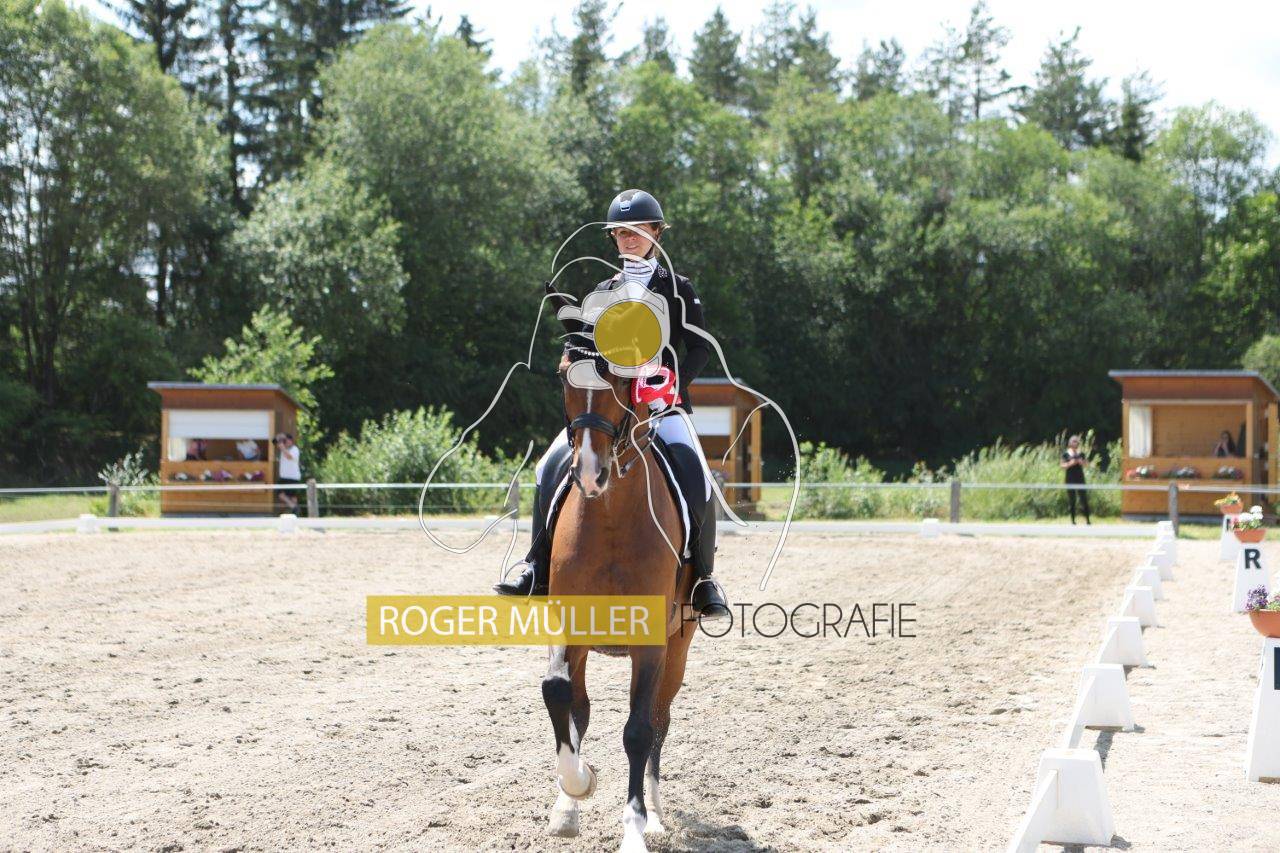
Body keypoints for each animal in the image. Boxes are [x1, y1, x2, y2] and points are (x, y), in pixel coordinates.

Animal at [540, 347, 699, 853]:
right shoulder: (568, 627)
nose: (590, 474)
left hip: (677, 649)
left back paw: (656, 817)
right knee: (580, 709)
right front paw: (578, 785)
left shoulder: (651, 645)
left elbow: (638, 731)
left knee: (659, 721)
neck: (608, 516)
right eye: (562, 377)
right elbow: (557, 693)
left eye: (620, 378)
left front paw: (634, 829)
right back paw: (567, 805)